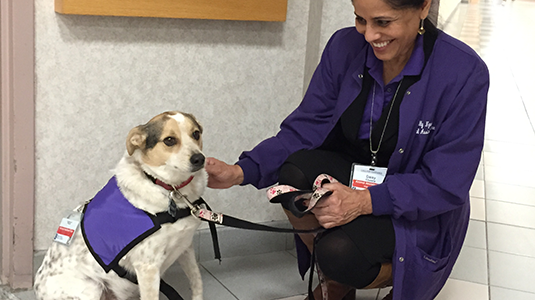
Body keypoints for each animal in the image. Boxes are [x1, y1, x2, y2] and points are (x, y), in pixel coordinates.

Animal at [34, 110, 208, 300]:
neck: (168, 187)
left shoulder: (185, 247)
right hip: (91, 288)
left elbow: (197, 283)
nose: (199, 159)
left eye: (196, 134)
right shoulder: (148, 266)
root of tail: (37, 289)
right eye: (169, 140)